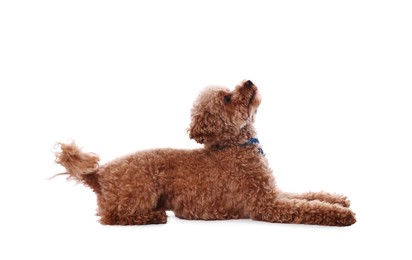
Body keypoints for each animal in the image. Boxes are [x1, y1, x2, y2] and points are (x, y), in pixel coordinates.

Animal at [54, 79, 356, 225]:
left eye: (230, 89)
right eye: (228, 98)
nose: (248, 81)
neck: (235, 145)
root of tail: (100, 174)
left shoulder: (273, 191)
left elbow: (309, 196)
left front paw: (338, 200)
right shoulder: (265, 205)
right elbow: (307, 207)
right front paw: (342, 215)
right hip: (141, 190)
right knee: (111, 218)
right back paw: (152, 217)